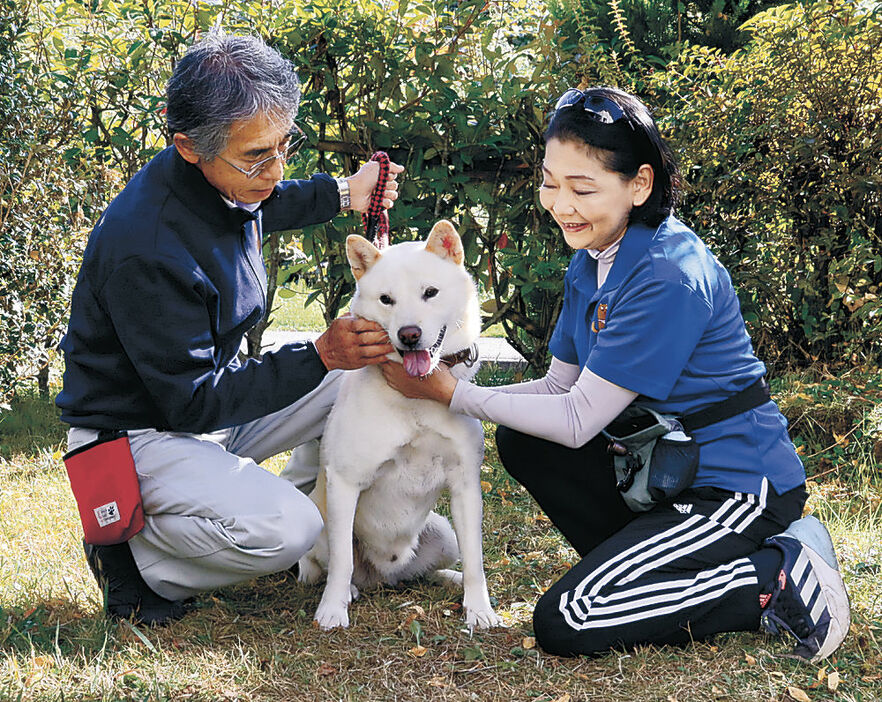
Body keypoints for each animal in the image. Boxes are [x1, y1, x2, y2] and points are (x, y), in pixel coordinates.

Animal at [298, 220, 498, 632]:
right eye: (386, 299)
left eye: (430, 293)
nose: (409, 334)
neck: (414, 397)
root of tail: (381, 577)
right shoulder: (345, 482)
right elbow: (341, 562)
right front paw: (332, 611)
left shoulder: (466, 485)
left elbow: (475, 558)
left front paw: (479, 609)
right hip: (320, 522)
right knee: (330, 566)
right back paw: (347, 590)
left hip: (443, 533)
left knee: (422, 572)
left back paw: (447, 579)